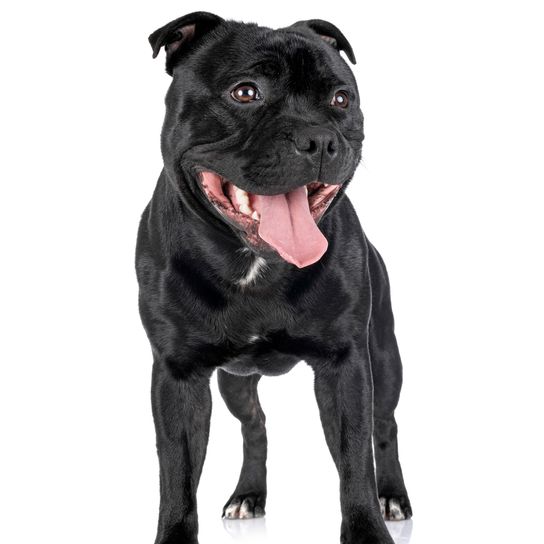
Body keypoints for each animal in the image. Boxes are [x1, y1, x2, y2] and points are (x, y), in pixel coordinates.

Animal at [137, 12, 412, 544]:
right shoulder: (177, 376)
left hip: (385, 358)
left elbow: (355, 463)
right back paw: (249, 494)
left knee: (385, 426)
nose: (319, 139)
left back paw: (393, 496)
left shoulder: (347, 365)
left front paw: (369, 529)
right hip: (235, 382)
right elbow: (176, 475)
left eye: (340, 99)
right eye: (246, 92)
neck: (254, 263)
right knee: (255, 424)